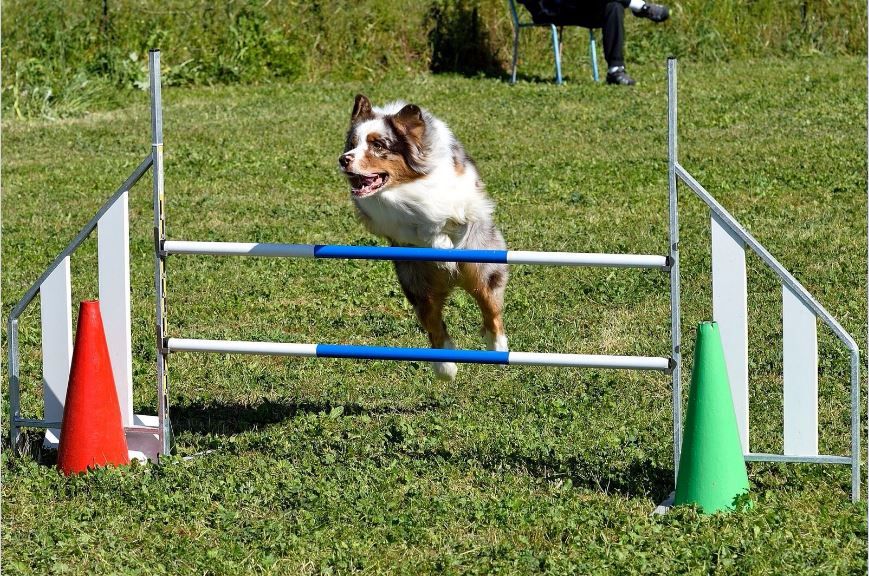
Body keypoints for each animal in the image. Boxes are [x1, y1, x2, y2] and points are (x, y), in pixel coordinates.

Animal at [336, 96, 506, 380]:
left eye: (378, 145)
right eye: (352, 144)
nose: (343, 159)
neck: (404, 186)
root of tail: (453, 280)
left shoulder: (462, 194)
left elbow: (441, 211)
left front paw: (441, 235)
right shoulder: (388, 222)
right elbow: (413, 225)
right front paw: (437, 242)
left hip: (483, 269)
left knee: (489, 306)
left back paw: (498, 346)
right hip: (417, 286)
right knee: (435, 325)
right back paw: (445, 368)